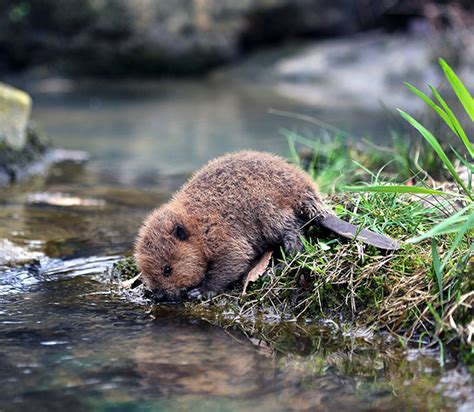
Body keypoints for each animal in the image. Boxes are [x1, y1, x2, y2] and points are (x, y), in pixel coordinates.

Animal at [135, 151, 398, 302]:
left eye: (167, 269)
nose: (158, 296)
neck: (196, 222)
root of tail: (310, 197)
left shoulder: (221, 233)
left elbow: (234, 259)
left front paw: (200, 292)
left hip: (270, 213)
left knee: (294, 238)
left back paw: (278, 266)